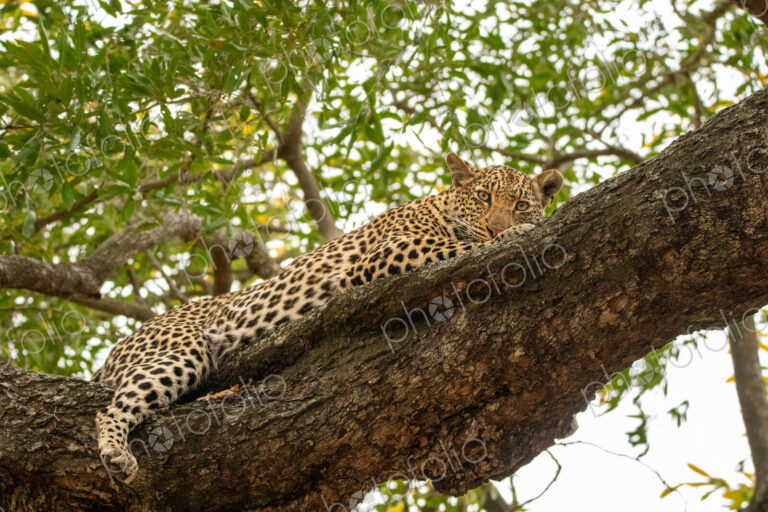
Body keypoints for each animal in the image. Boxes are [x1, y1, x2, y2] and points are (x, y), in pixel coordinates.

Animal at [92, 152, 564, 483]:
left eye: (521, 203)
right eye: (483, 197)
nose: (495, 226)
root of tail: (113, 353)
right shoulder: (380, 257)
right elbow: (458, 247)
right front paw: (509, 236)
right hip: (182, 350)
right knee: (110, 410)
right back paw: (117, 454)